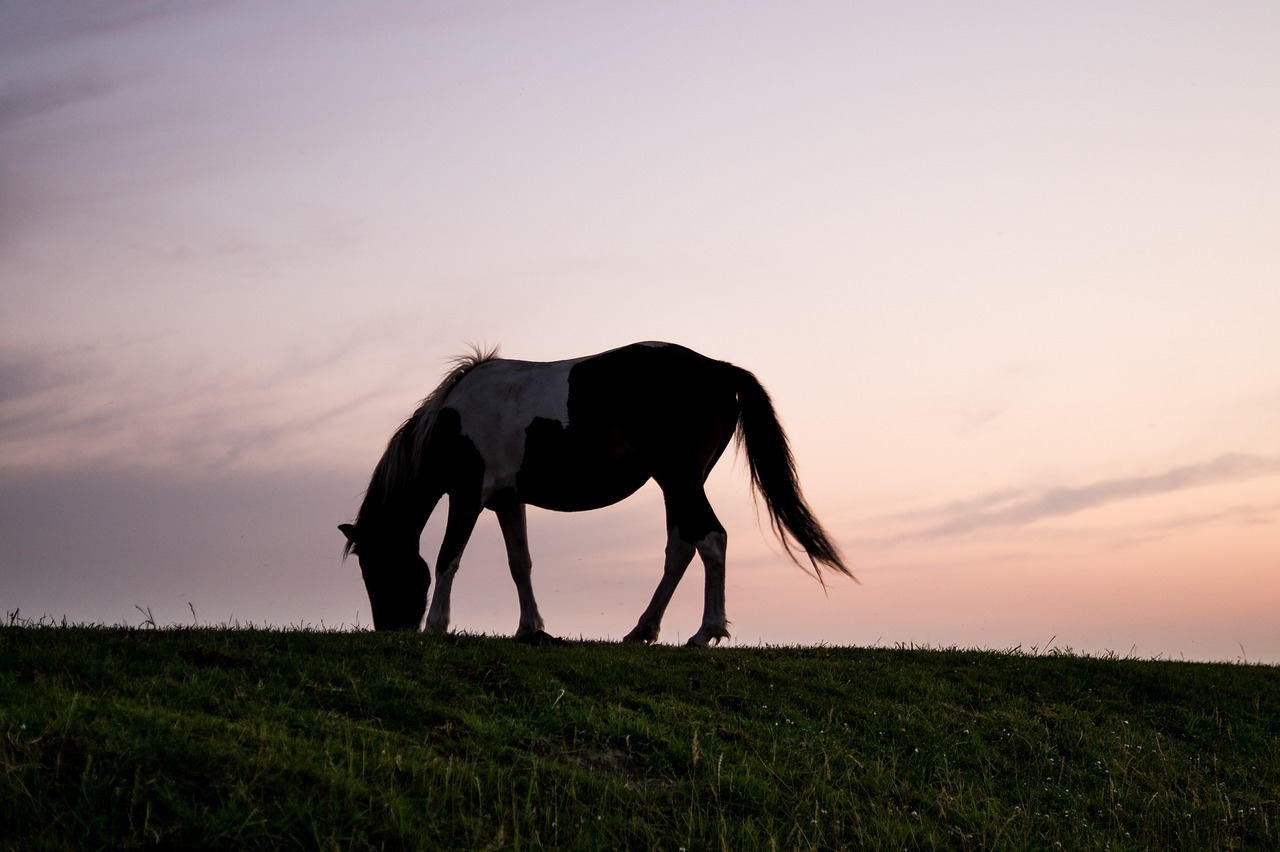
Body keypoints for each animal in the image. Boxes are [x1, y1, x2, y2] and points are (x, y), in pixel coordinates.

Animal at [340, 337, 849, 644]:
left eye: (375, 567)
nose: (391, 629)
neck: (452, 419)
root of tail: (719, 369)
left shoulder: (468, 495)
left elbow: (449, 557)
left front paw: (436, 626)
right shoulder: (507, 500)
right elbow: (520, 563)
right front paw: (531, 629)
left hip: (681, 478)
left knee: (711, 539)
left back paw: (705, 632)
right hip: (677, 483)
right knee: (682, 547)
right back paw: (642, 630)